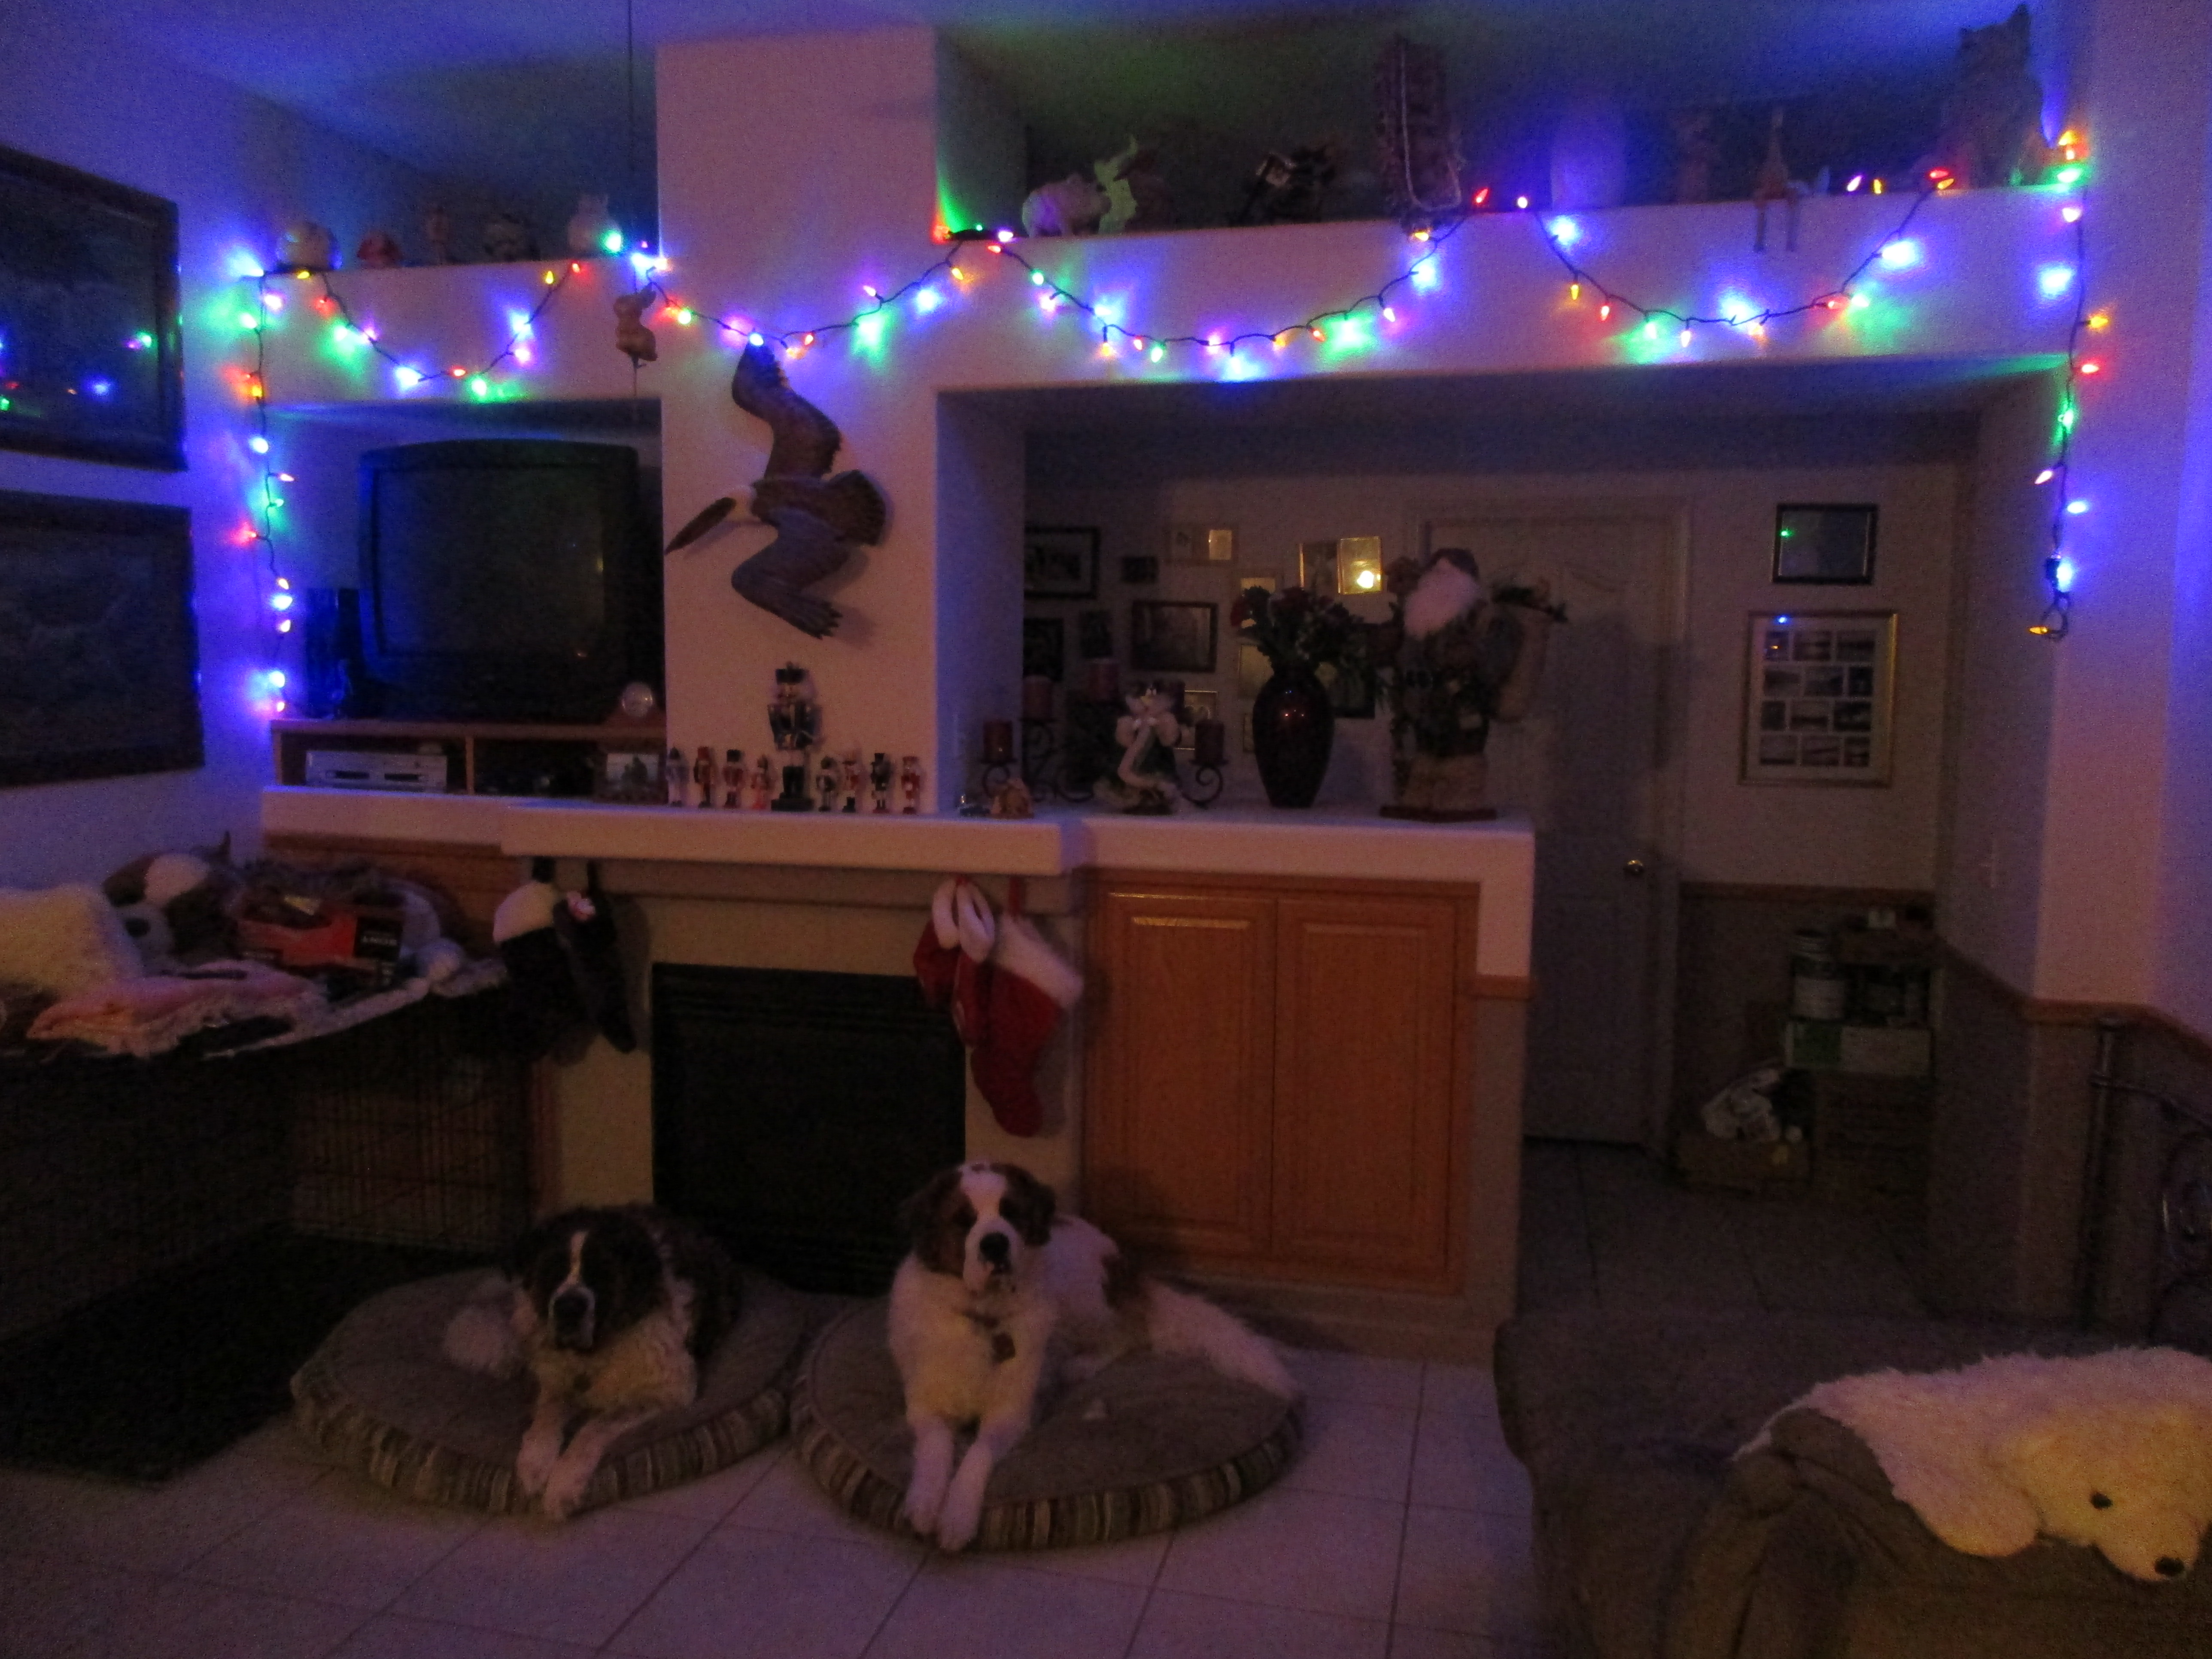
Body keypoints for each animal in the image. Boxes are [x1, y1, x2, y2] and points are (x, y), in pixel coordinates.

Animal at [445, 1205, 737, 1519]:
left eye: (601, 1273)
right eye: (553, 1270)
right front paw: (535, 1463)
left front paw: (563, 1485)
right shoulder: (555, 1378)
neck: (595, 1353)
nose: (569, 1308)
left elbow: (593, 1428)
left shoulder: (668, 1390)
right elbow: (547, 1414)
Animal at [888, 1161, 1298, 1551]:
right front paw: (925, 1502)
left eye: (1010, 1212)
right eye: (963, 1220)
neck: (985, 1317)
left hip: (1081, 1300)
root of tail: (1125, 1264)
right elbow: (935, 1447)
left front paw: (957, 1517)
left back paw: (1078, 1366)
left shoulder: (1009, 1415)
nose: (995, 1244)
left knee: (1126, 1335)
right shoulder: (926, 1408)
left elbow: (979, 1455)